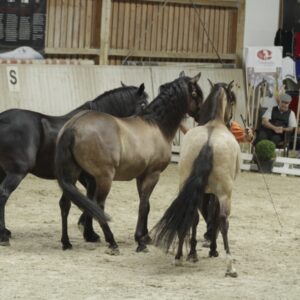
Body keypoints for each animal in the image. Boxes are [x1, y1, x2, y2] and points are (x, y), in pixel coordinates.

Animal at [0, 83, 149, 245]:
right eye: (143, 103)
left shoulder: (84, 177)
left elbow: (86, 199)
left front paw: (87, 230)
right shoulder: (92, 177)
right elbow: (89, 200)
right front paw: (89, 232)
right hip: (17, 172)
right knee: (3, 193)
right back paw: (3, 235)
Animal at [54, 72, 203, 253]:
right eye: (196, 93)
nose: (201, 115)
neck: (157, 125)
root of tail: (72, 127)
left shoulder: (141, 176)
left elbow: (146, 205)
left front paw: (145, 236)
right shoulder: (153, 174)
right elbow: (144, 206)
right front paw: (140, 240)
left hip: (72, 174)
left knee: (65, 203)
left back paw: (66, 242)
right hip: (104, 178)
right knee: (98, 205)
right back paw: (112, 242)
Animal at [151, 81, 240, 276]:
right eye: (232, 100)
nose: (231, 122)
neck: (214, 123)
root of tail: (208, 142)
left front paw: (192, 253)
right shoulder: (214, 194)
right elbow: (213, 218)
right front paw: (213, 249)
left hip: (185, 185)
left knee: (189, 215)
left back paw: (178, 257)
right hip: (225, 194)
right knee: (223, 221)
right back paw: (230, 265)